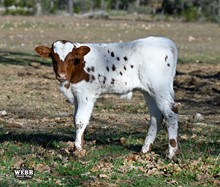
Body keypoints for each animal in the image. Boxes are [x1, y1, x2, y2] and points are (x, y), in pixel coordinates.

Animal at [34, 36, 179, 159]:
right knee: (156, 116)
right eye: (54, 58)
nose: (61, 75)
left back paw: (171, 153)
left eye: (71, 58)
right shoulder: (76, 96)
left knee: (171, 113)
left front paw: (78, 149)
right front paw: (80, 146)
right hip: (148, 92)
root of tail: (164, 41)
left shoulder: (86, 95)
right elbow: (75, 120)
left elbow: (80, 120)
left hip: (160, 89)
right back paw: (145, 149)